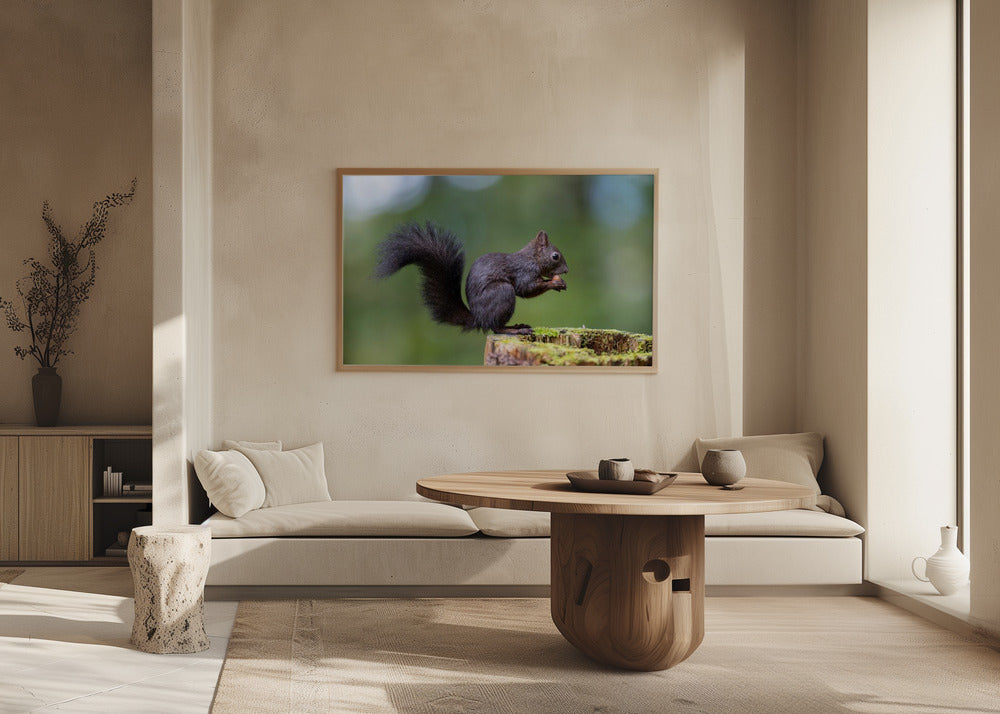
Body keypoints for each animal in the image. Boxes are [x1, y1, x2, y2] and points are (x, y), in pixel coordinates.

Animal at [373, 221, 568, 334]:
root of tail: (478, 318)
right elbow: (526, 288)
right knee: (495, 328)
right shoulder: (524, 271)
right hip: (502, 292)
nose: (566, 270)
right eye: (555, 256)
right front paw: (553, 283)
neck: (532, 258)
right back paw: (515, 330)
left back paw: (517, 326)